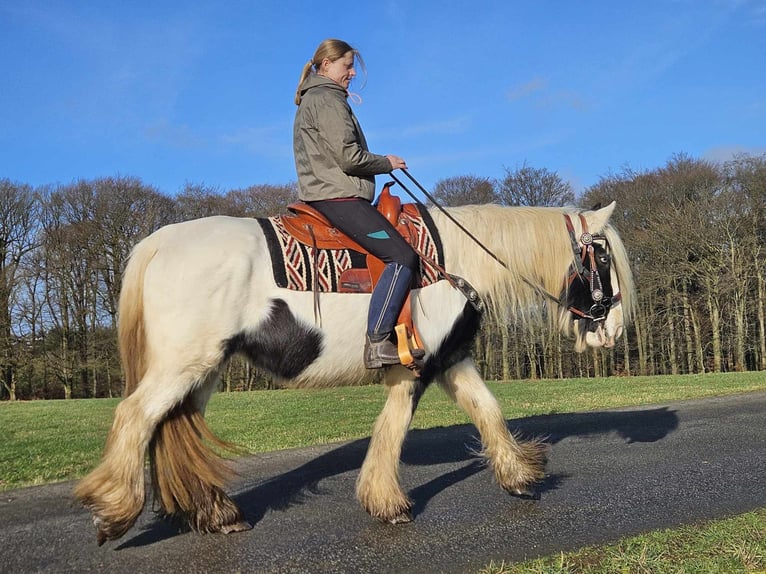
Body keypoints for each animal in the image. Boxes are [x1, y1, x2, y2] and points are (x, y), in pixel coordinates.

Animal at [73, 200, 636, 548]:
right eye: (603, 257)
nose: (612, 330)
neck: (455, 260)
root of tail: (158, 243)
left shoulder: (452, 359)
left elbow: (488, 411)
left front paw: (519, 476)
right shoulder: (413, 368)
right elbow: (393, 429)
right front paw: (387, 503)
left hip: (203, 369)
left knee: (171, 425)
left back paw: (216, 515)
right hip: (184, 363)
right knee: (135, 417)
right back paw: (114, 511)